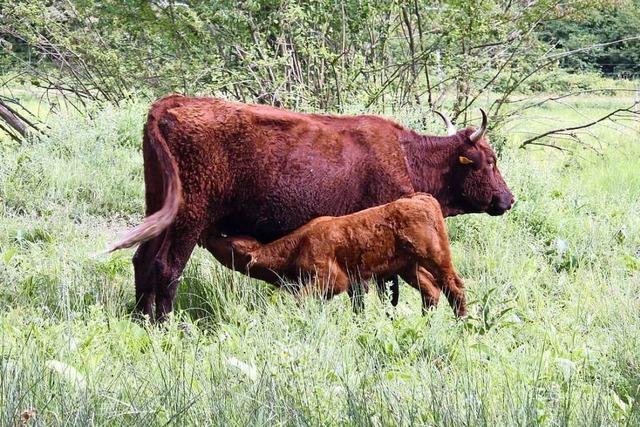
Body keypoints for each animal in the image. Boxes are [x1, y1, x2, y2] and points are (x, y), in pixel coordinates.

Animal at [209, 194, 464, 318]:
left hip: (437, 257)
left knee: (455, 286)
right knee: (431, 291)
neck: (299, 244)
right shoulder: (354, 283)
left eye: (231, 245)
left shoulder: (332, 280)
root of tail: (420, 198)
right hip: (409, 268)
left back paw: (463, 322)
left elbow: (301, 299)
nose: (212, 235)